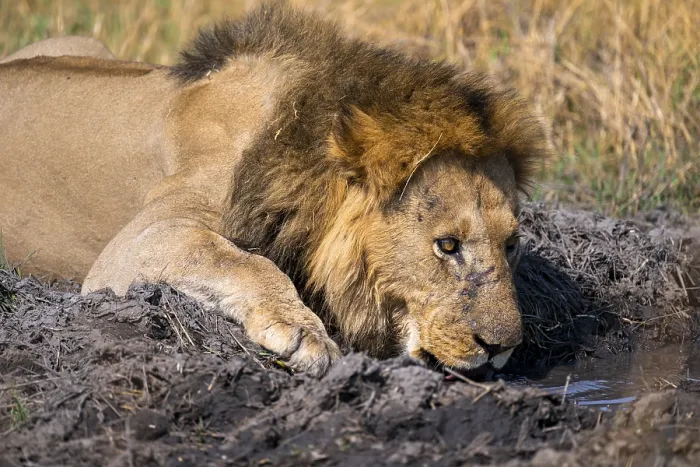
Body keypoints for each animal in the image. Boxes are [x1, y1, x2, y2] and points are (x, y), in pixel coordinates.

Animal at [0, 2, 550, 376]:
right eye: (447, 245)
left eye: (512, 245)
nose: (502, 348)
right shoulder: (134, 245)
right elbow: (239, 261)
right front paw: (304, 333)